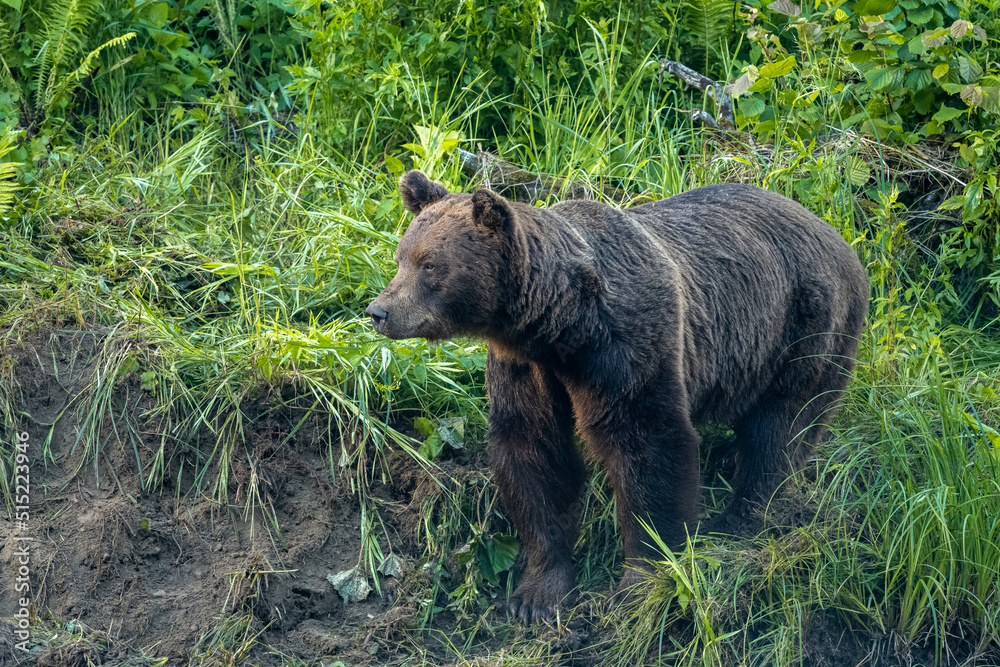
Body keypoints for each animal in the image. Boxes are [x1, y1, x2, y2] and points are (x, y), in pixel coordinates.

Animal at [368, 171, 868, 628]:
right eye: (400, 257)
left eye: (430, 265)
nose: (379, 311)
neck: (560, 326)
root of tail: (838, 235)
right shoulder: (525, 367)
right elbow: (533, 453)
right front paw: (535, 593)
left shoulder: (628, 345)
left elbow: (648, 448)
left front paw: (639, 582)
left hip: (806, 324)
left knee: (781, 427)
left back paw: (740, 518)